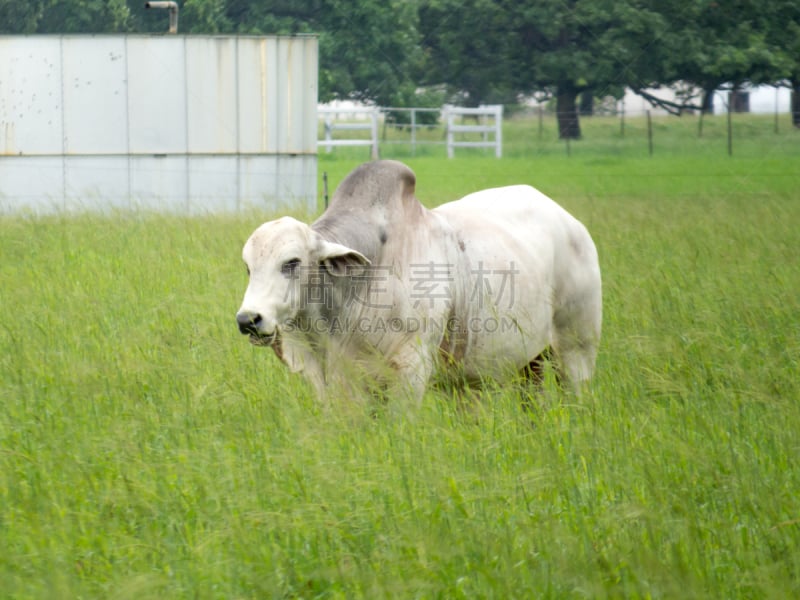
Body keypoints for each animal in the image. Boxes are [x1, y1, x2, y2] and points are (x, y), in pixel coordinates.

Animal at [238, 159, 600, 404]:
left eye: (291, 263)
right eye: (249, 268)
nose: (248, 319)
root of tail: (572, 224)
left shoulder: (410, 371)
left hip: (576, 350)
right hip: (525, 364)